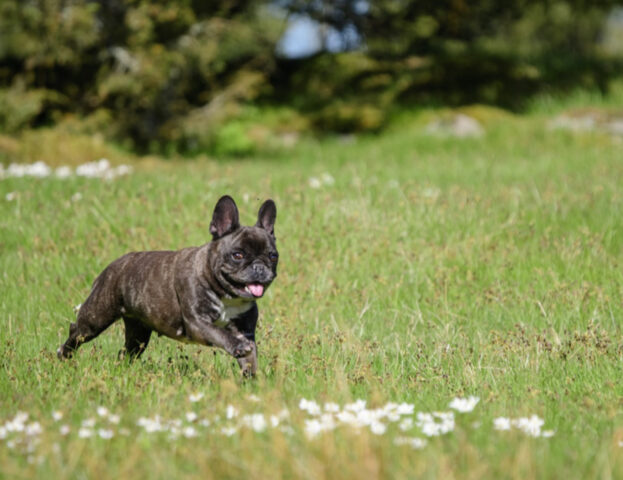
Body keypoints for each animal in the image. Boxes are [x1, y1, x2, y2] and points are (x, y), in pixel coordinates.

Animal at [58, 195, 278, 376]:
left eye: (273, 256)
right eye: (237, 255)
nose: (259, 267)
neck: (227, 296)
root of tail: (114, 265)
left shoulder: (246, 332)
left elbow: (250, 360)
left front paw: (251, 382)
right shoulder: (198, 323)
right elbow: (220, 334)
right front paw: (236, 347)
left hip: (138, 334)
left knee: (127, 352)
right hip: (96, 317)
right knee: (77, 331)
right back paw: (63, 355)